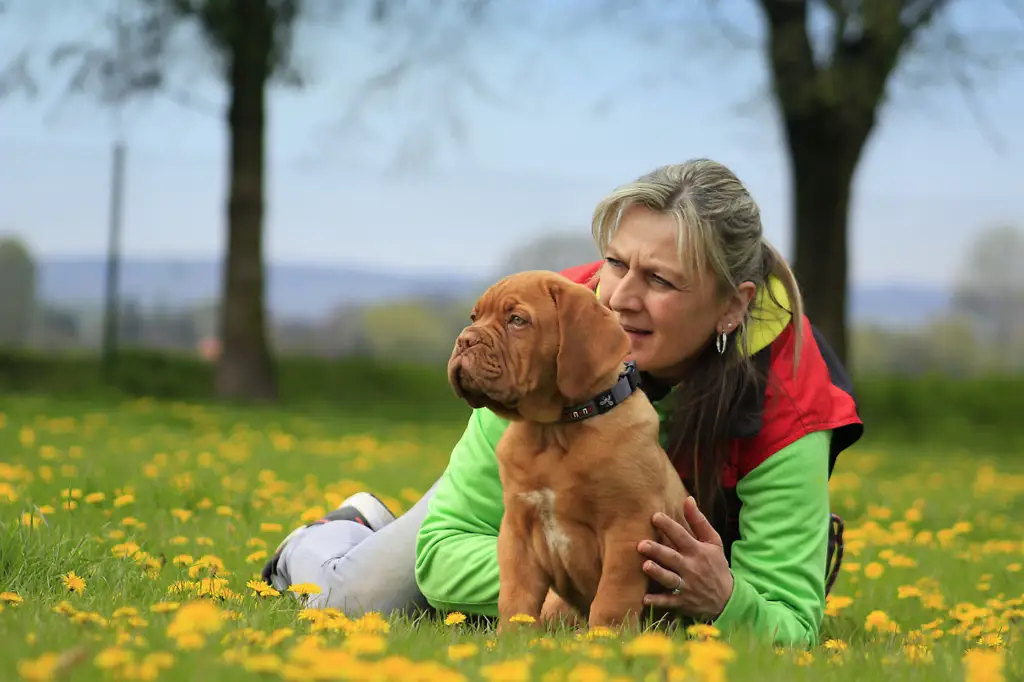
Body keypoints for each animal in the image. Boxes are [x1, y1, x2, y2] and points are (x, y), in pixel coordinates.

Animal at [446, 268, 692, 630]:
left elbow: (613, 597)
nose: (465, 339)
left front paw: (606, 638)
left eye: (517, 320)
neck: (554, 430)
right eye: (474, 318)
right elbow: (516, 595)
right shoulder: (518, 530)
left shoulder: (628, 527)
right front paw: (510, 638)